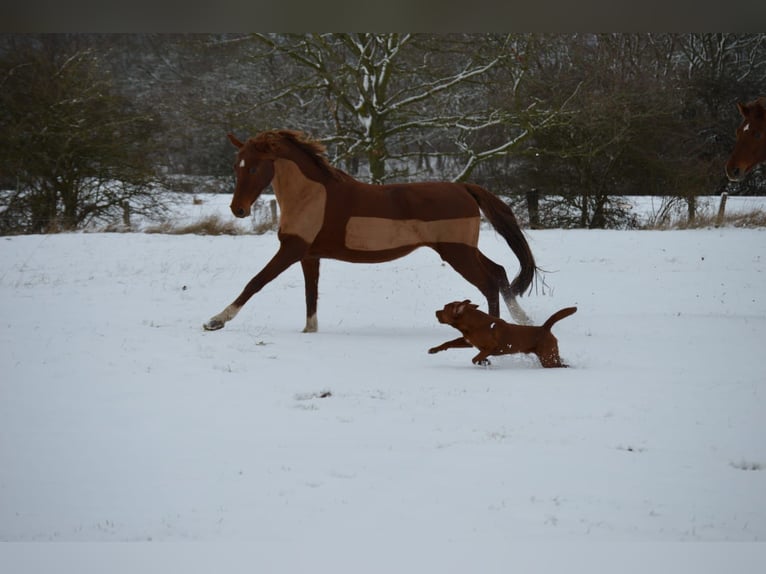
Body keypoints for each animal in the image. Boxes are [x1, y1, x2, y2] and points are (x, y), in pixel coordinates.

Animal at [204, 130, 537, 333]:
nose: (238, 209)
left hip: (456, 251)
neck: (310, 196)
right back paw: (522, 319)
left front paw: (216, 320)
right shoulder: (309, 255)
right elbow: (311, 295)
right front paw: (309, 331)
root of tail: (464, 188)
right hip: (463, 249)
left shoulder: (291, 249)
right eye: (236, 166)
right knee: (498, 271)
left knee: (488, 282)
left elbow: (255, 282)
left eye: (255, 167)